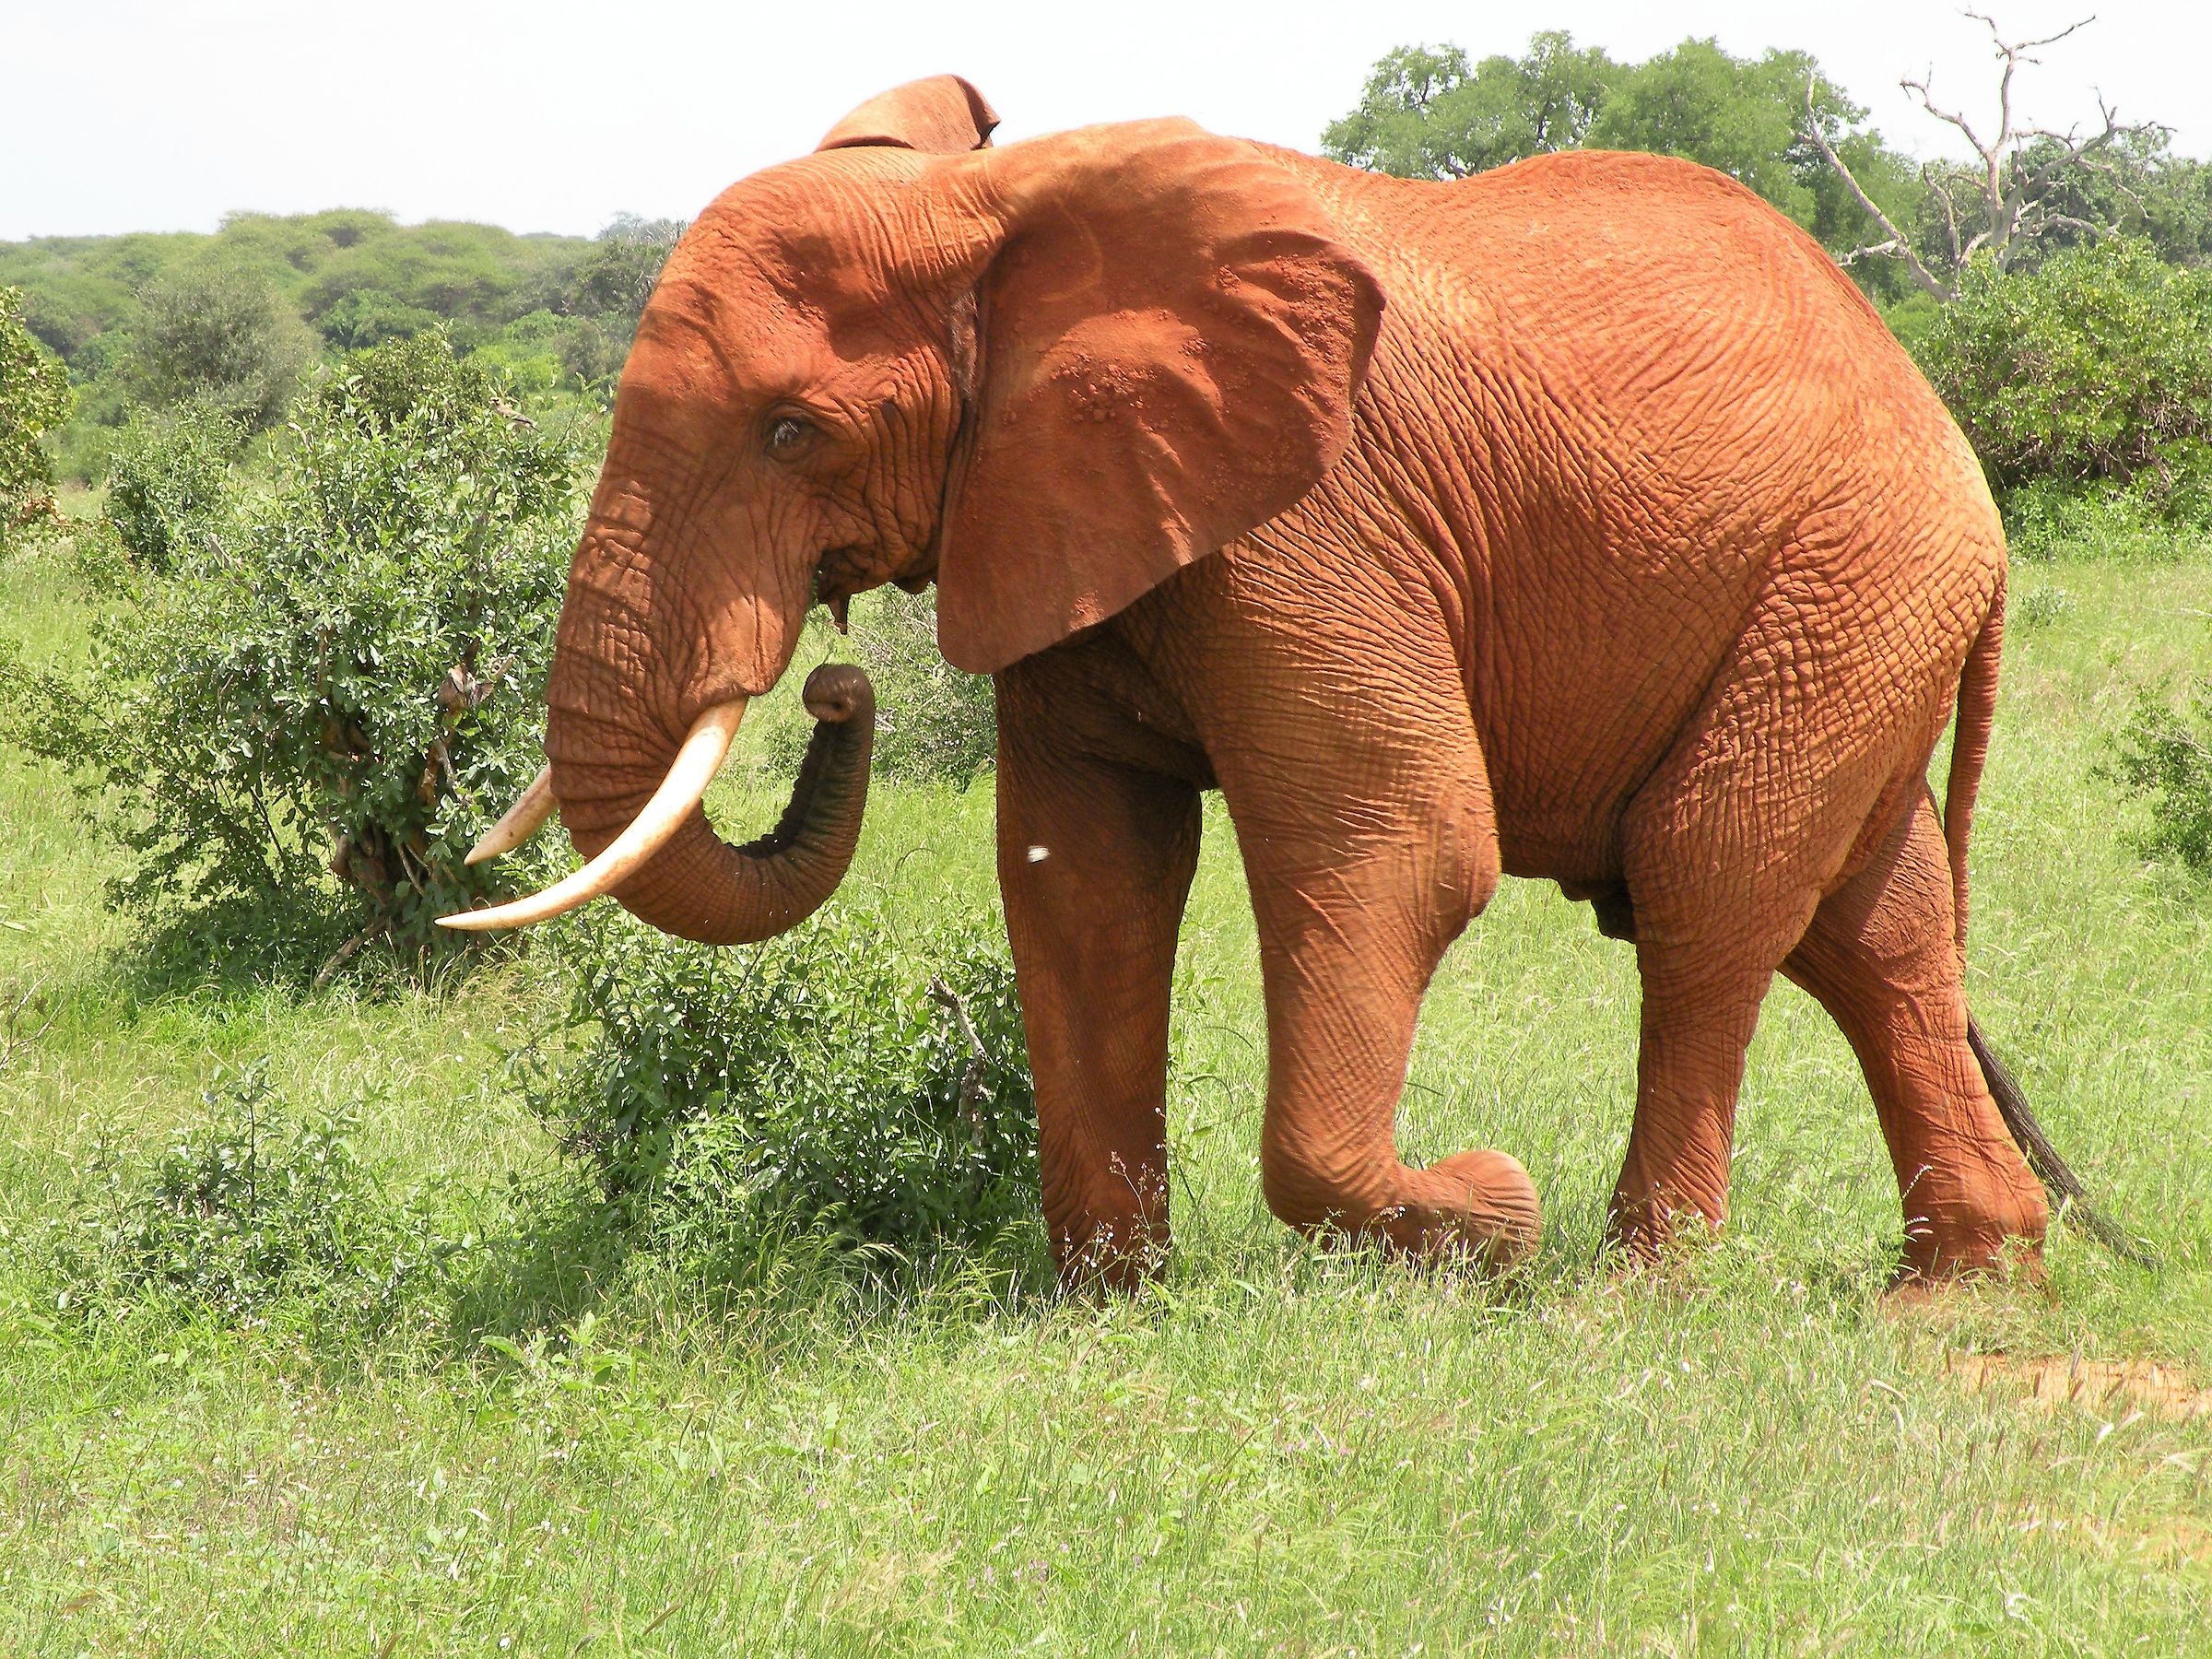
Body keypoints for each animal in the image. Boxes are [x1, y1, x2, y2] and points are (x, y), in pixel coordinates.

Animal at [445, 73, 2107, 1289]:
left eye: (793, 431)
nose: (832, 691)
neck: (1005, 215)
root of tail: (1936, 415)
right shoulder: (1066, 509)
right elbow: (1080, 871)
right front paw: (1111, 1300)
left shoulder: (1314, 525)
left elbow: (1402, 845)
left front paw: (1485, 1219)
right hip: (1854, 611)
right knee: (1875, 924)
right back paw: (1966, 1281)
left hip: (1846, 577)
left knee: (1711, 886)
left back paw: (1638, 1289)